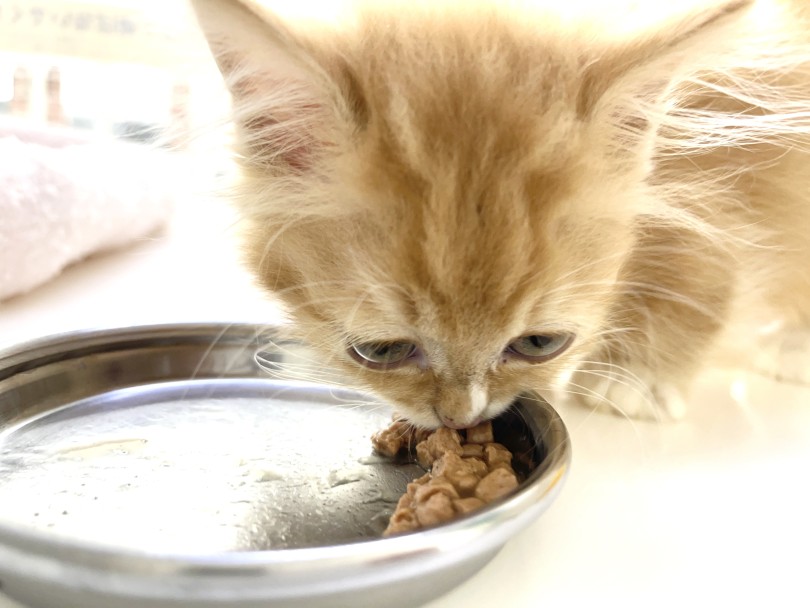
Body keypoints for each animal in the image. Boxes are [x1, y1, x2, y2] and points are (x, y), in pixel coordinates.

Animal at [191, 0, 808, 428]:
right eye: (380, 351)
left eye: (540, 343)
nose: (459, 417)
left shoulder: (737, 148)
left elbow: (706, 256)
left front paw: (636, 374)